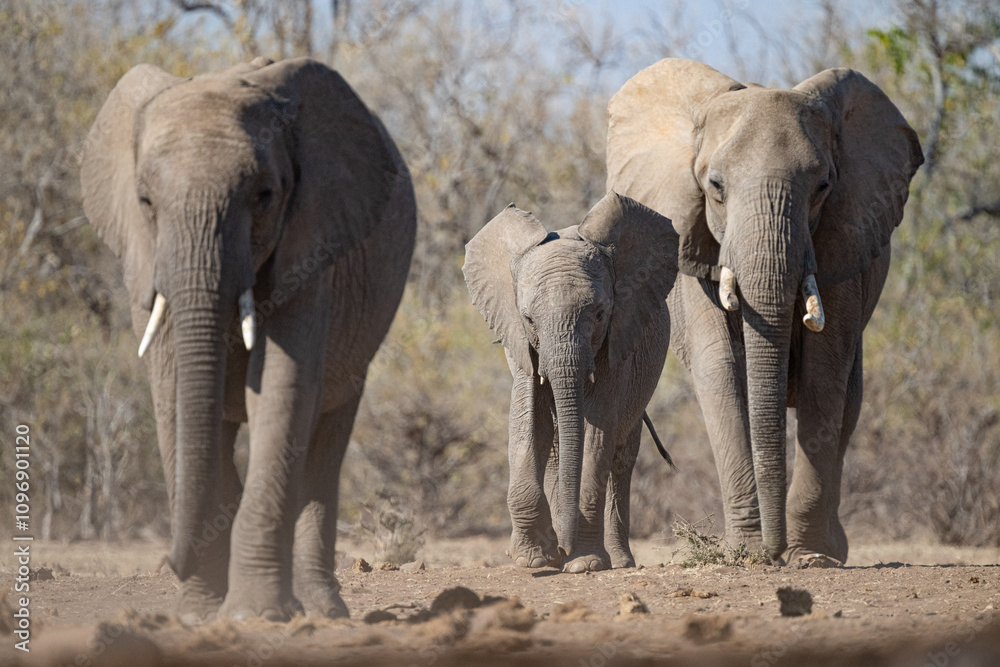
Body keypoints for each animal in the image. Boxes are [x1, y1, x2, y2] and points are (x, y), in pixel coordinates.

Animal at [80, 57, 416, 620]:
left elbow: (281, 389)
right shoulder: (145, 262)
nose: (171, 562)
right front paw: (199, 612)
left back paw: (323, 608)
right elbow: (174, 395)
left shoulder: (310, 248)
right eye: (145, 201)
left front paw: (254, 614)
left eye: (264, 197)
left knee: (327, 438)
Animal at [464, 192, 678, 573]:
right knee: (554, 448)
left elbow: (596, 435)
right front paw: (536, 558)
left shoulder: (617, 341)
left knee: (621, 455)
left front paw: (585, 563)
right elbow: (527, 424)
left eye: (599, 314)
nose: (562, 549)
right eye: (528, 319)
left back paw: (617, 560)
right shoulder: (520, 346)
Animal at [606, 59, 923, 564]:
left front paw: (809, 557)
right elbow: (721, 368)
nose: (774, 555)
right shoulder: (692, 241)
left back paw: (832, 546)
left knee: (850, 402)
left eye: (823, 187)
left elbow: (824, 374)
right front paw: (751, 552)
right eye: (715, 186)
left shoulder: (843, 238)